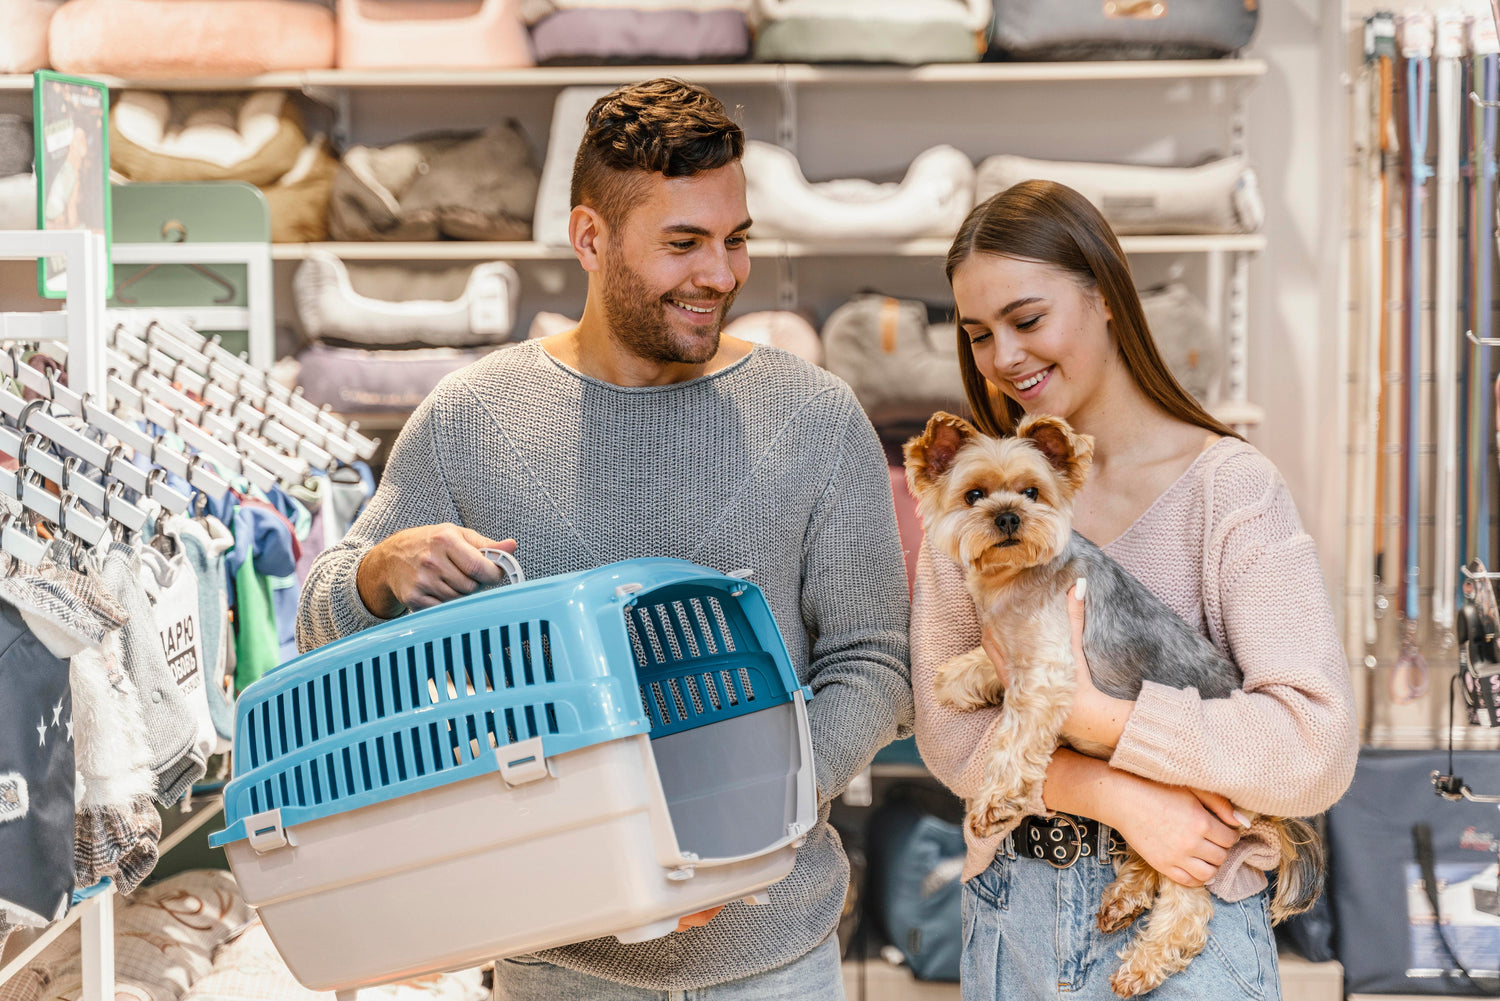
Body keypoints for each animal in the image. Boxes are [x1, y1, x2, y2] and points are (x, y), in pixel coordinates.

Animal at [900, 411, 1326, 996]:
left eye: (1032, 492)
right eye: (974, 495)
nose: (1009, 517)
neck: (1013, 577)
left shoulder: (1048, 669)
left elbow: (1014, 736)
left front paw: (996, 802)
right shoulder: (1010, 648)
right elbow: (976, 668)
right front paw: (956, 681)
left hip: (1191, 805)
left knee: (1189, 902)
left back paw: (1142, 964)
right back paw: (1124, 899)